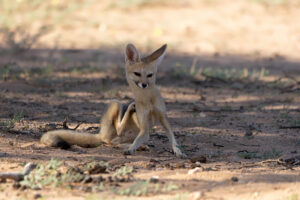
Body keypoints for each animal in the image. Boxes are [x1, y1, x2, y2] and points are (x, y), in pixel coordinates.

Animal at [39, 43, 185, 158]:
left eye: (150, 75)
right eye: (137, 74)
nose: (144, 84)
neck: (148, 100)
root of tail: (100, 134)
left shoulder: (162, 117)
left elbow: (172, 137)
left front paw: (178, 152)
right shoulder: (144, 125)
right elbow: (139, 139)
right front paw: (131, 149)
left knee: (117, 142)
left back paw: (140, 145)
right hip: (116, 103)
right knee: (113, 139)